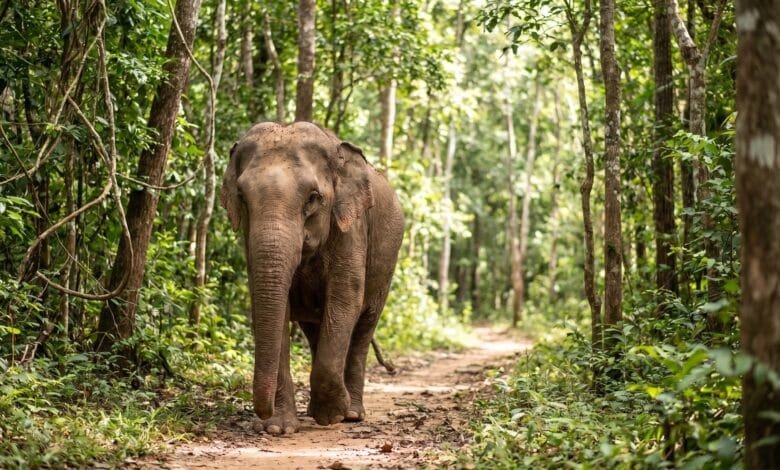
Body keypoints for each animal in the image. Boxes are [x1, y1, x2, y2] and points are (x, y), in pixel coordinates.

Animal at [220, 121, 404, 435]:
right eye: (242, 197)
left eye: (313, 197)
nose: (262, 414)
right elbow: (271, 306)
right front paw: (279, 428)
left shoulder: (351, 227)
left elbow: (345, 299)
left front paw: (331, 415)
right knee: (315, 328)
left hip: (386, 266)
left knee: (364, 326)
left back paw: (352, 413)